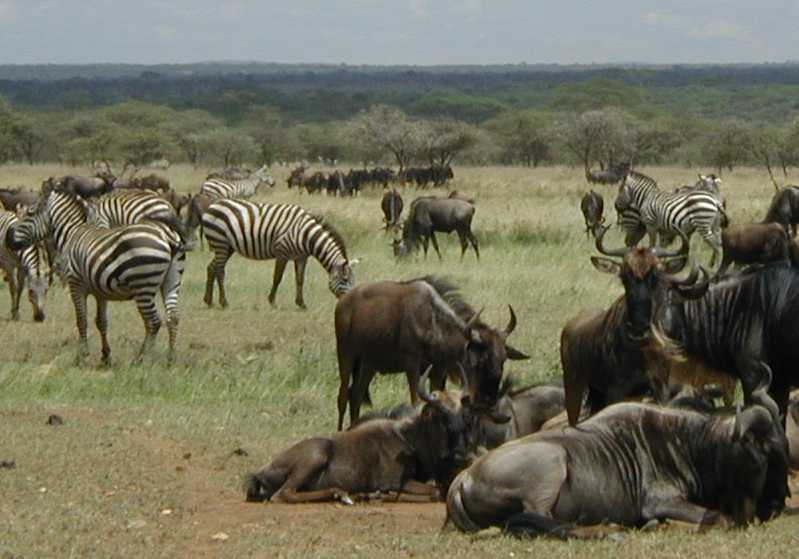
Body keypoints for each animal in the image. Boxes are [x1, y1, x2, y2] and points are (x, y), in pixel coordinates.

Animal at [7, 185, 186, 365]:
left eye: (30, 214)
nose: (8, 239)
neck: (72, 233)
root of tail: (167, 236)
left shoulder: (76, 285)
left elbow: (82, 320)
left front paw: (81, 356)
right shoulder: (101, 291)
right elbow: (101, 322)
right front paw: (105, 356)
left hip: (143, 286)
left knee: (153, 322)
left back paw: (140, 359)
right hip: (171, 281)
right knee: (173, 317)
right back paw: (170, 358)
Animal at [201, 199, 358, 309]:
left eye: (353, 281)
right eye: (345, 280)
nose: (350, 301)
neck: (306, 235)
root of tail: (213, 205)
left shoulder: (301, 257)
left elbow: (300, 279)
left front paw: (301, 303)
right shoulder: (282, 253)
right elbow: (277, 278)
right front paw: (272, 301)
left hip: (227, 247)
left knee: (211, 268)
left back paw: (209, 301)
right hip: (220, 243)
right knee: (219, 270)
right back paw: (224, 302)